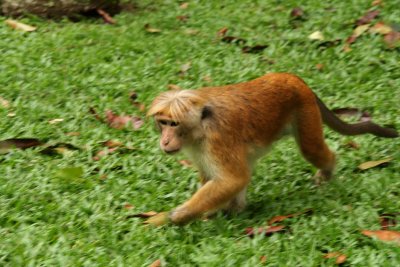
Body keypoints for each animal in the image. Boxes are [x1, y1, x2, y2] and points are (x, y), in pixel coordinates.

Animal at [145, 73, 398, 226]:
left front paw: (178, 216)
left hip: (304, 110)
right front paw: (216, 213)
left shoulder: (217, 141)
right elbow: (223, 178)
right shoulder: (199, 148)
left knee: (311, 149)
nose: (165, 141)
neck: (200, 126)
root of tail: (291, 77)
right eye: (163, 123)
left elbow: (232, 179)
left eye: (173, 124)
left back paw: (328, 169)